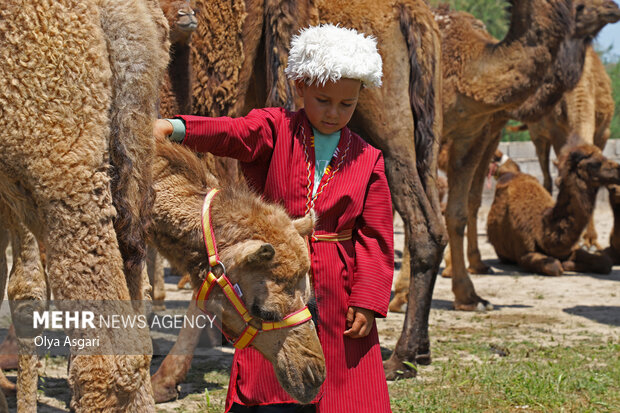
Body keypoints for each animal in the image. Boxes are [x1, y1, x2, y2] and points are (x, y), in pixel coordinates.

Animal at [486, 143, 616, 276]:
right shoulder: (524, 253)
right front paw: (565, 264)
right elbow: (555, 266)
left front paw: (569, 263)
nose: (618, 170)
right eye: (595, 163)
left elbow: (605, 262)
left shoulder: (571, 248)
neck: (541, 227)